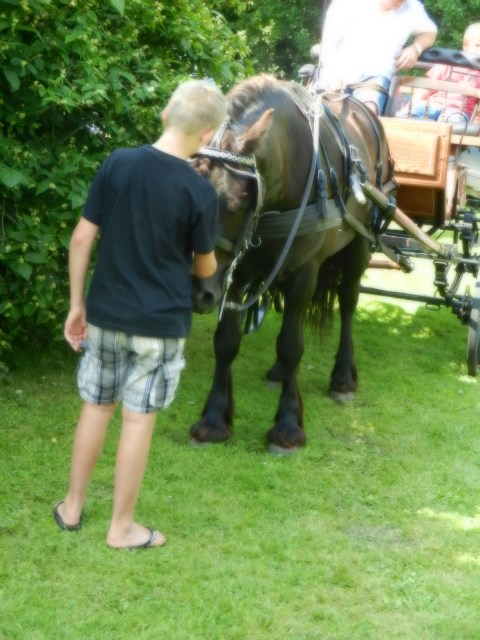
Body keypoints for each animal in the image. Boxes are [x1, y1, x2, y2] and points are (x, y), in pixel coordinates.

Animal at [190, 74, 395, 453]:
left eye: (236, 203)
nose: (200, 292)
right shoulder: (236, 271)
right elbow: (226, 342)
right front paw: (214, 419)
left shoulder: (305, 273)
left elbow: (291, 346)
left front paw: (287, 426)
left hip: (359, 244)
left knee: (348, 302)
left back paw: (343, 377)